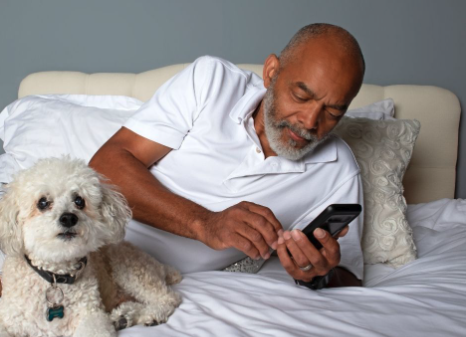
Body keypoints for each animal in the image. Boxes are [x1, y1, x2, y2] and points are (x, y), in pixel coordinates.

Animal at [0, 158, 182, 336]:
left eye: (79, 201)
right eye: (42, 202)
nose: (68, 218)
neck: (56, 276)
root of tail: (161, 265)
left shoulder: (92, 317)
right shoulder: (9, 317)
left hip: (128, 266)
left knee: (170, 298)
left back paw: (150, 315)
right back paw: (124, 316)